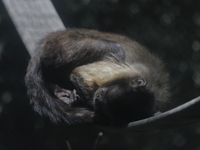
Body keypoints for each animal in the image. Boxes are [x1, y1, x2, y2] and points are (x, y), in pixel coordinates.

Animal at [25, 28, 169, 126]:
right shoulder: (129, 72)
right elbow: (80, 73)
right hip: (63, 45)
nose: (98, 99)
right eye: (109, 94)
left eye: (108, 107)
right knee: (115, 48)